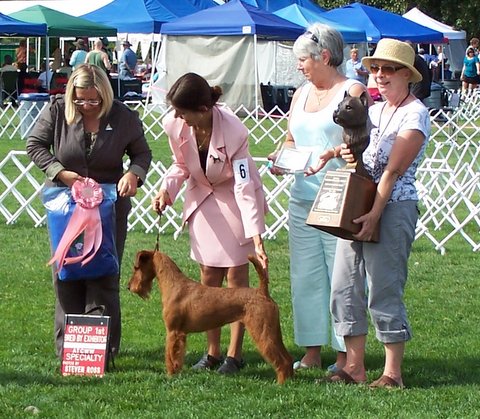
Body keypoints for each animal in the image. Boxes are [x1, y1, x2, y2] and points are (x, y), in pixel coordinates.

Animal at [127, 251, 292, 386]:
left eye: (136, 267)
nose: (129, 287)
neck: (173, 284)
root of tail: (262, 292)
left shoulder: (173, 332)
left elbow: (171, 356)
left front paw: (170, 375)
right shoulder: (180, 334)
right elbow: (178, 357)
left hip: (262, 332)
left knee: (281, 359)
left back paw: (281, 382)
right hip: (273, 331)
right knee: (287, 357)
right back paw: (290, 378)